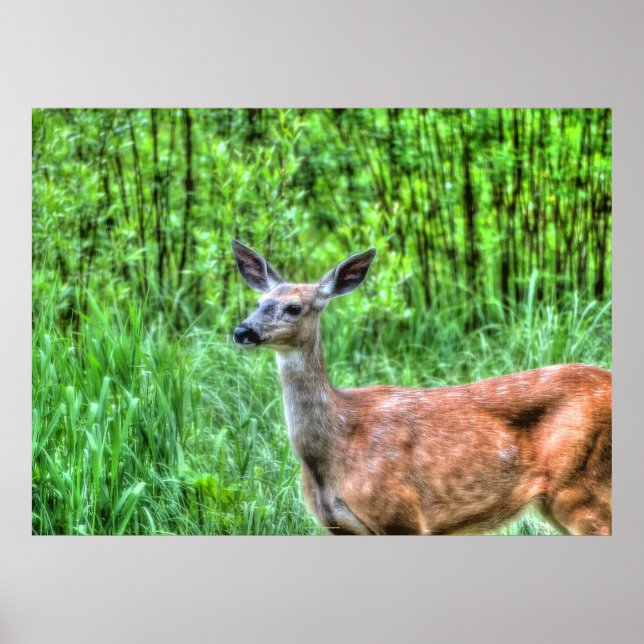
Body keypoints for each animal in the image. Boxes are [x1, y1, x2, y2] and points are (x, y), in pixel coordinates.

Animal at [231, 240, 612, 535]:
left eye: (294, 308)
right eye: (258, 303)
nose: (242, 331)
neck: (337, 442)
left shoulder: (401, 514)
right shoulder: (341, 527)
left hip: (581, 487)